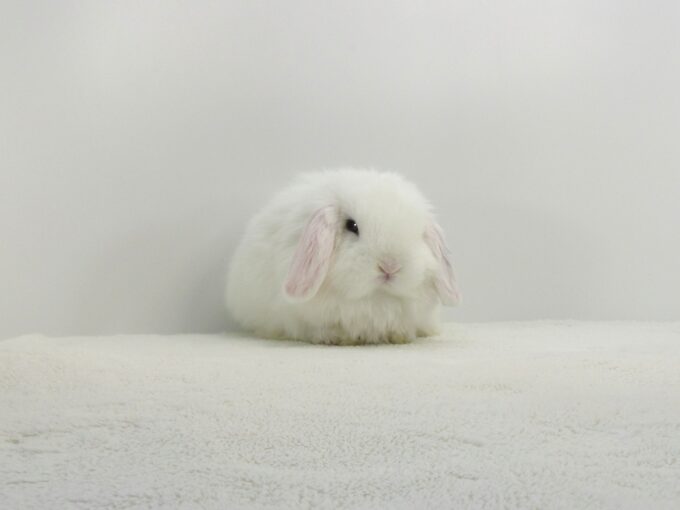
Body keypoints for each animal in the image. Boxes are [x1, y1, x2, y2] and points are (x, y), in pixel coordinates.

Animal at [225, 168, 460, 345]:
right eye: (351, 226)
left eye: (419, 234)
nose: (389, 267)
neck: (374, 300)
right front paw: (336, 338)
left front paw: (400, 337)